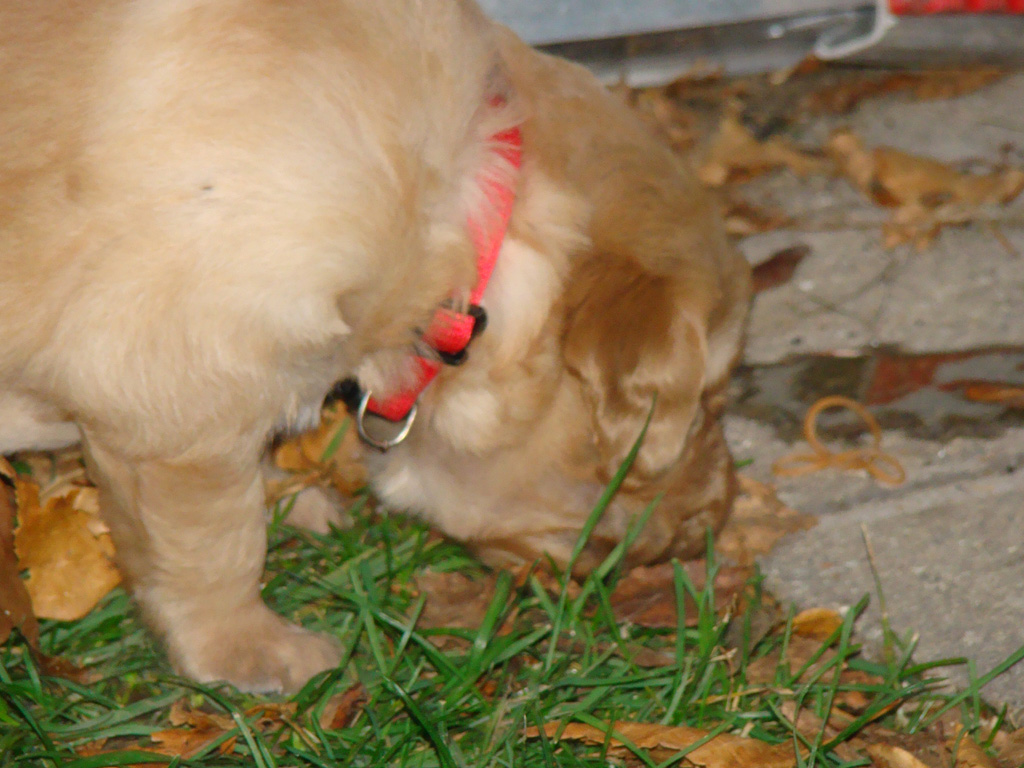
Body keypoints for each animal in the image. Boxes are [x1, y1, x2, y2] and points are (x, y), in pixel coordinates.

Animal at [0, 0, 753, 692]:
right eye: (706, 404)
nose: (717, 519)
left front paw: (288, 494)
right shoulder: (176, 393)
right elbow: (216, 547)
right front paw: (253, 653)